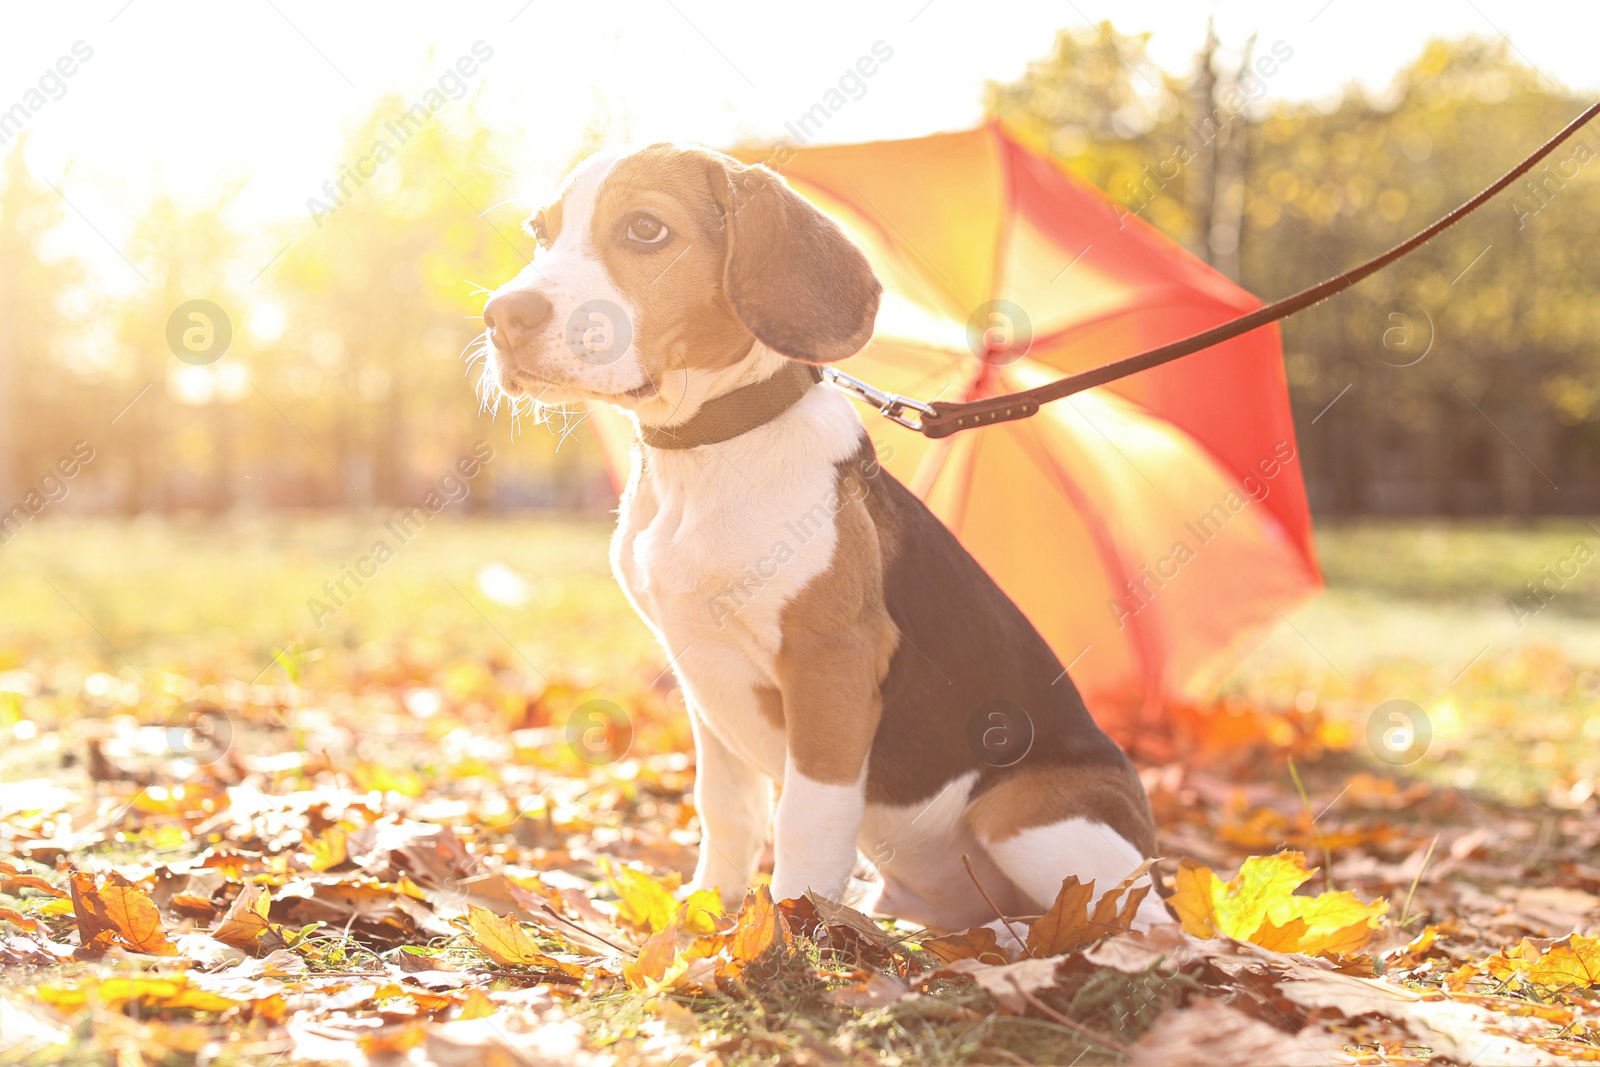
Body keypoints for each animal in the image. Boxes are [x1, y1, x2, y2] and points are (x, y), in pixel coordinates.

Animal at [480, 143, 1171, 940]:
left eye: (646, 229)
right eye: (539, 231)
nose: (502, 315)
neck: (709, 445)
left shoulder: (830, 666)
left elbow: (806, 817)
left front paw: (787, 928)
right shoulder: (701, 675)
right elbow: (728, 809)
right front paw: (704, 920)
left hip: (1024, 813)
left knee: (1134, 923)